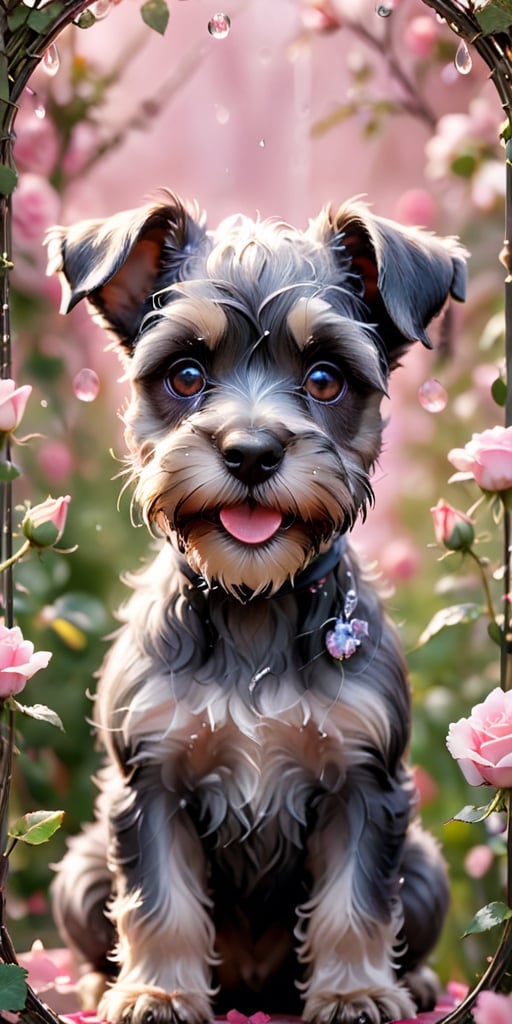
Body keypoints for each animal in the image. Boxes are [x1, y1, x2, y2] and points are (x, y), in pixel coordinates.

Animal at [47, 193, 464, 1024]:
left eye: (327, 379)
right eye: (185, 373)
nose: (250, 452)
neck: (254, 602)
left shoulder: (364, 783)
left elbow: (355, 902)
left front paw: (356, 990)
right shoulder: (151, 782)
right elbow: (159, 903)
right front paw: (158, 991)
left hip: (427, 867)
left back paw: (414, 983)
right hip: (79, 870)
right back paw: (104, 983)